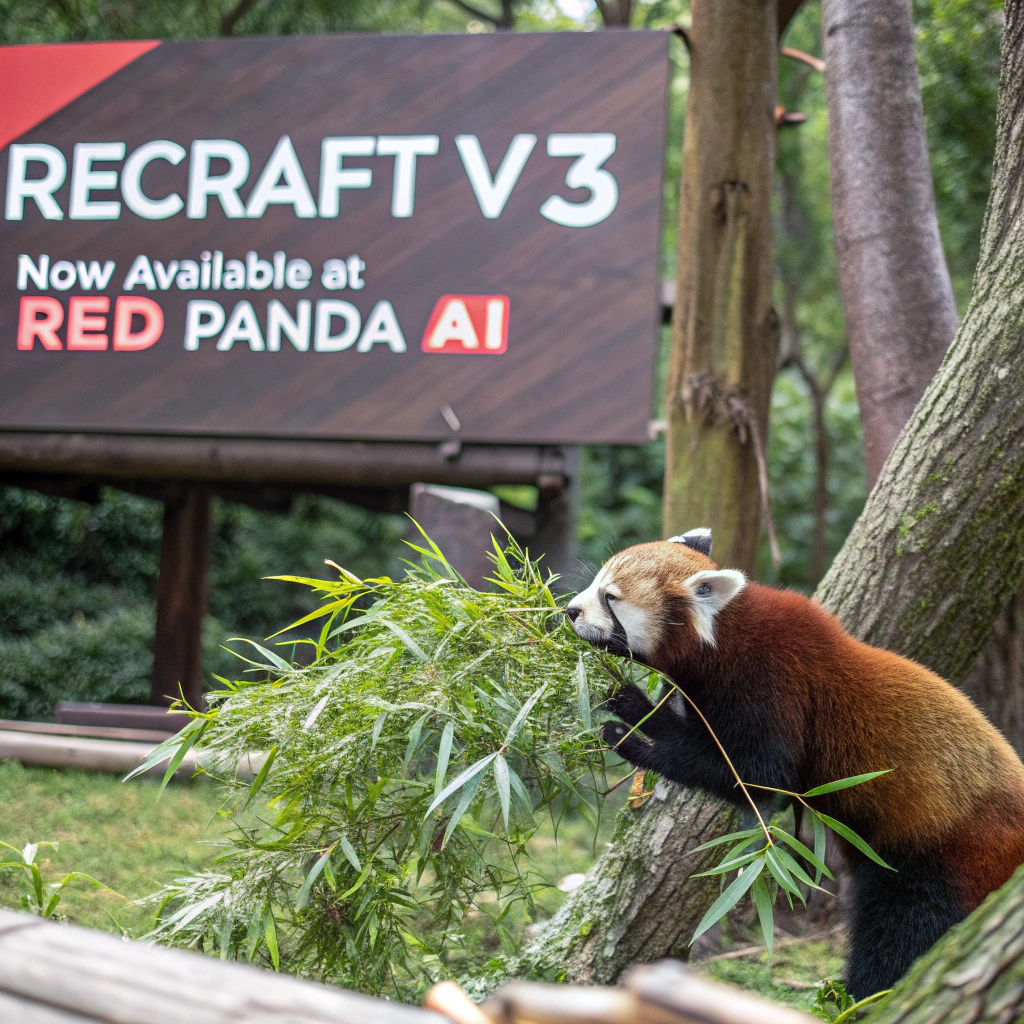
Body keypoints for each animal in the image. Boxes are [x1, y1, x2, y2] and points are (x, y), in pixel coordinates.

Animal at [565, 528, 1024, 997]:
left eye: (611, 598)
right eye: (595, 585)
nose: (569, 610)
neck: (723, 639)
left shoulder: (774, 684)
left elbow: (755, 776)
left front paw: (630, 722)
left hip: (946, 856)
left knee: (902, 931)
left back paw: (860, 993)